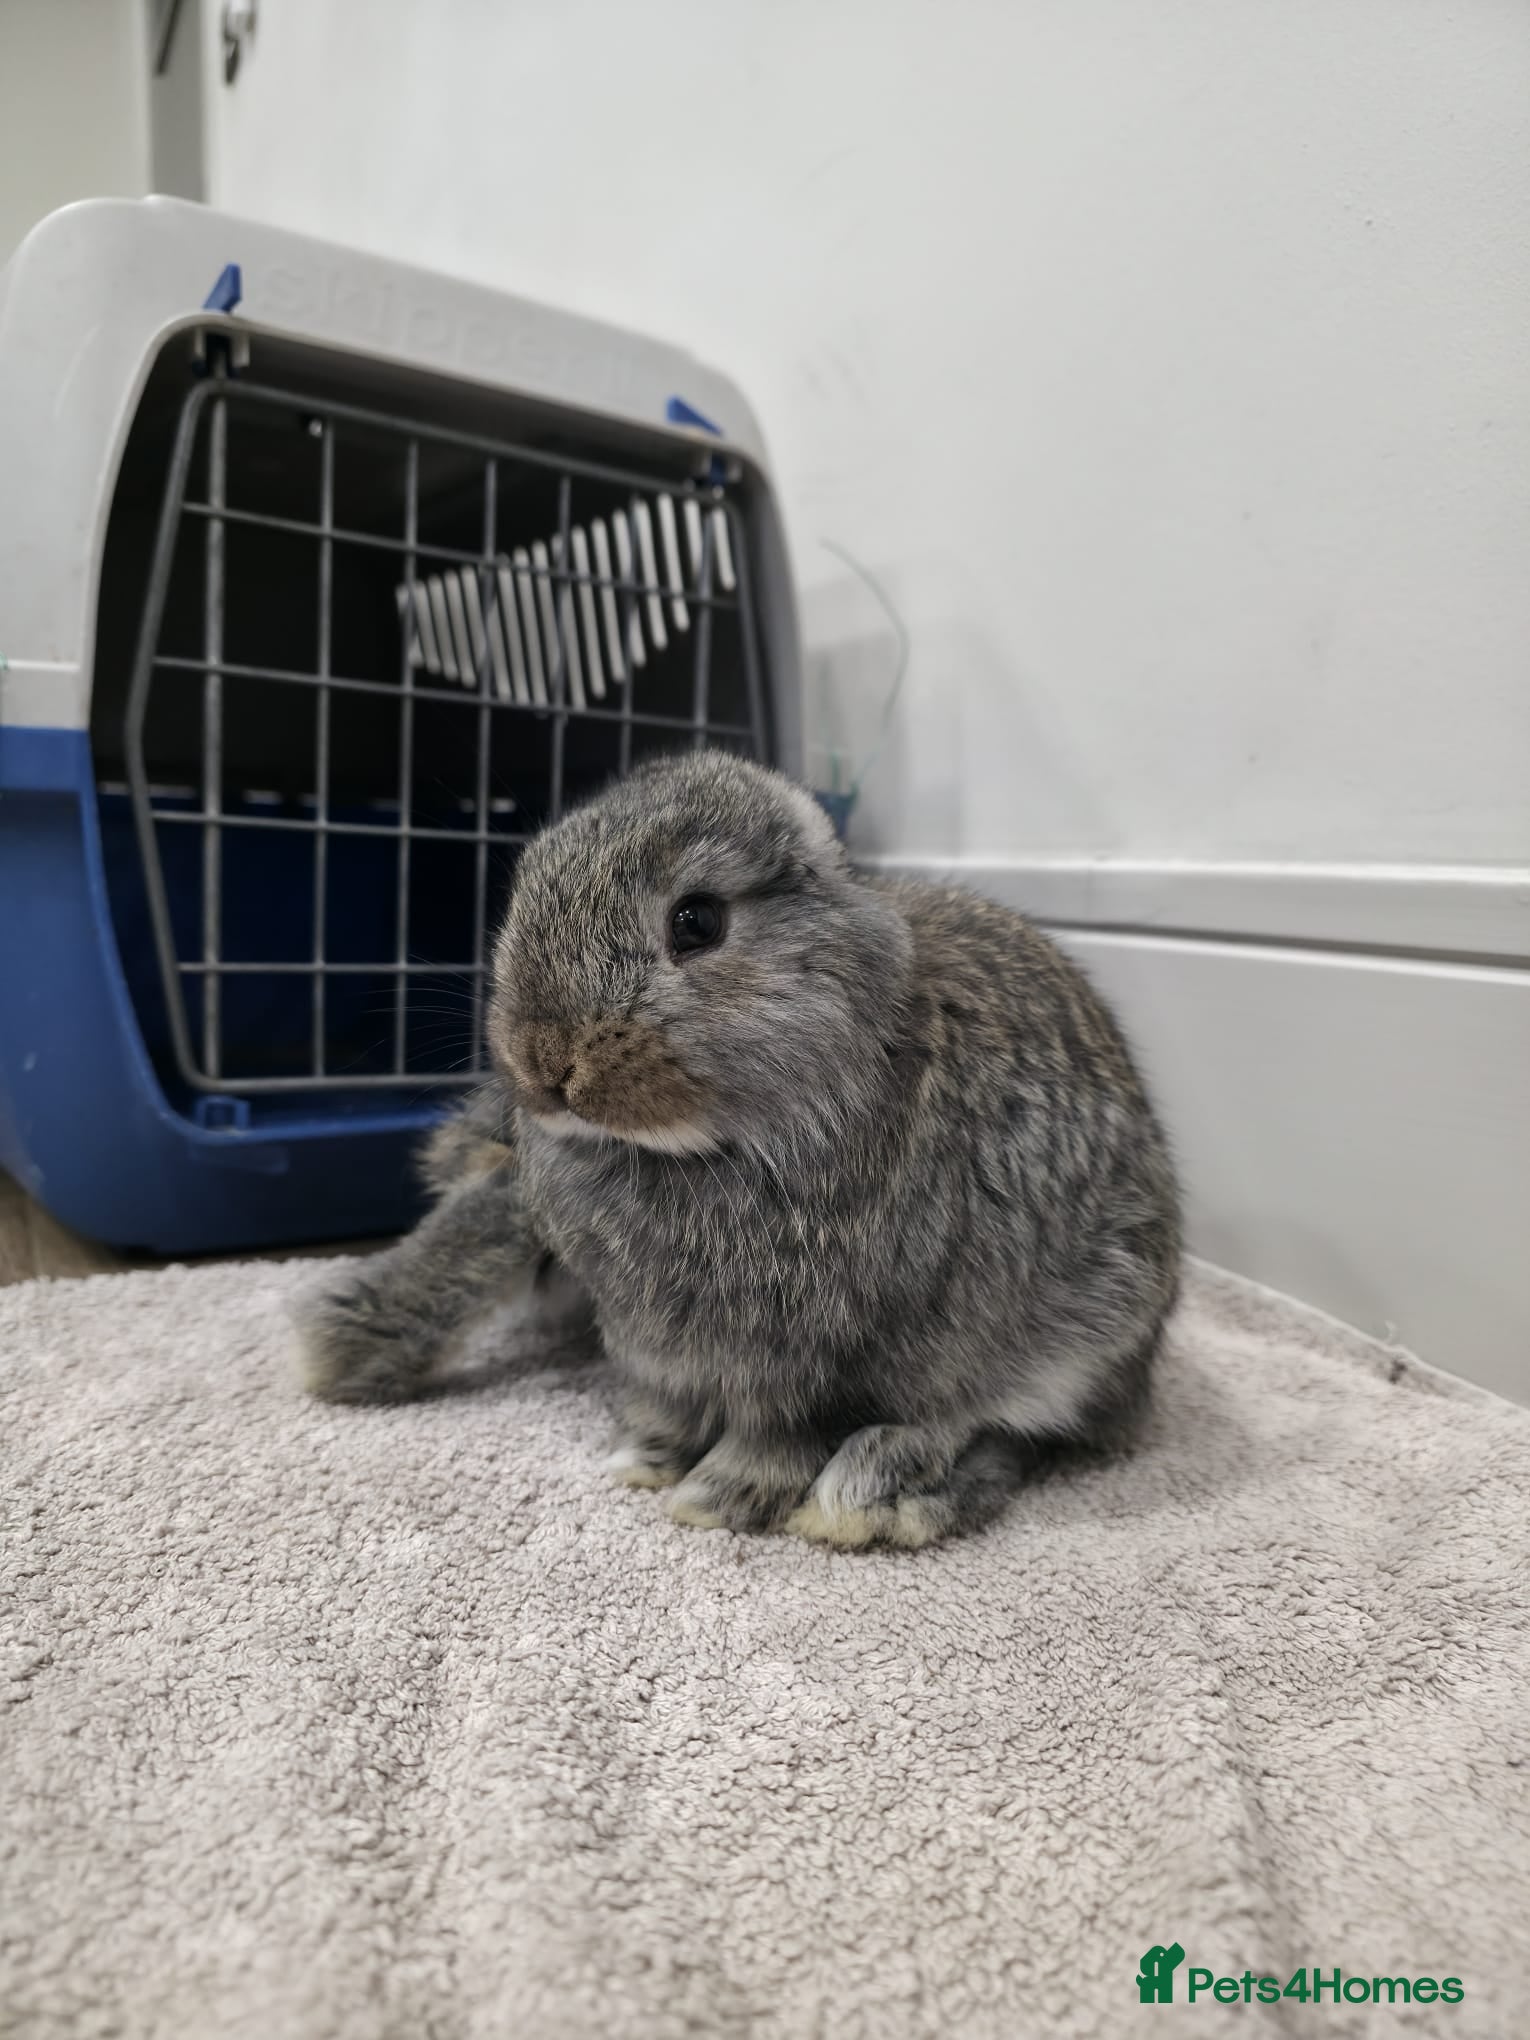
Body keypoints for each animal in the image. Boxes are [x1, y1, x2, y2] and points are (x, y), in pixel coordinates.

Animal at [295, 749, 1182, 1548]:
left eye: (697, 922)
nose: (542, 1062)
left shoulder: (805, 1361)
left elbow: (778, 1437)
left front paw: (719, 1498)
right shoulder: (666, 1355)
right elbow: (668, 1407)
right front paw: (644, 1457)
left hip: (1081, 1333)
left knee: (1017, 1431)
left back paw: (880, 1495)